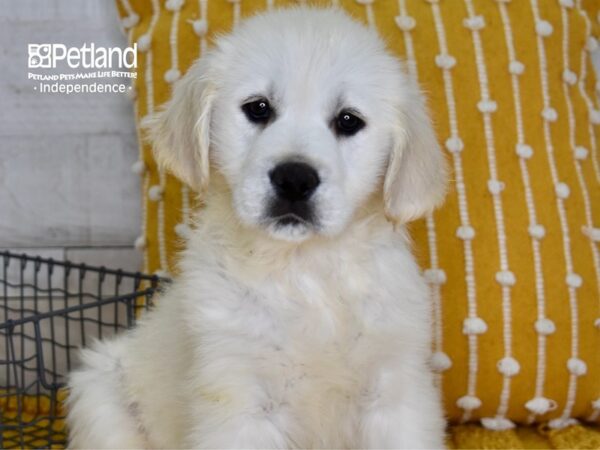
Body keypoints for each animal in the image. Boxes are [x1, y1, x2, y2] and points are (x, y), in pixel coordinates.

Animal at [68, 7, 448, 450]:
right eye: (259, 108)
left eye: (348, 120)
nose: (295, 180)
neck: (304, 270)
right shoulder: (238, 396)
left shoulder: (394, 391)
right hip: (100, 394)